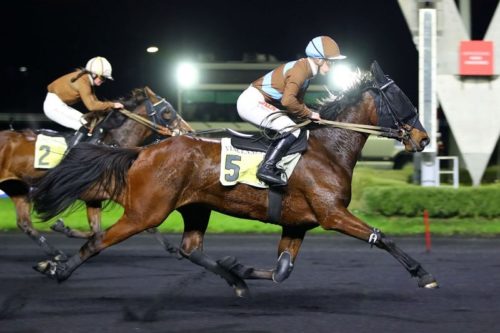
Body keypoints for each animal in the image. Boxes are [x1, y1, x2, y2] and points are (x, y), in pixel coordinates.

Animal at [0, 85, 192, 256]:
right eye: (167, 112)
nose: (189, 131)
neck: (110, 142)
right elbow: (143, 223)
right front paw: (171, 247)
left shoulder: (94, 197)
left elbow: (96, 231)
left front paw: (64, 228)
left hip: (17, 187)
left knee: (24, 224)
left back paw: (56, 253)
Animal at [31, 62, 438, 296]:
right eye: (403, 100)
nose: (423, 139)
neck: (328, 148)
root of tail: (144, 151)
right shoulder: (331, 214)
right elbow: (380, 237)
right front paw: (422, 273)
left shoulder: (298, 223)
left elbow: (282, 272)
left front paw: (242, 268)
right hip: (146, 212)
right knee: (100, 240)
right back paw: (58, 268)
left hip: (196, 207)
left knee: (190, 249)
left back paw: (235, 280)